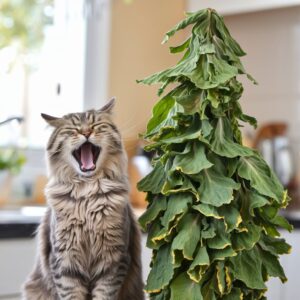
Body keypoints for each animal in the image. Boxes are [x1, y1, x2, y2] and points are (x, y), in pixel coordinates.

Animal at [22, 97, 145, 298]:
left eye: (96, 125)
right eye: (73, 129)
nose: (86, 132)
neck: (87, 196)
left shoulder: (113, 260)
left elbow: (104, 294)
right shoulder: (64, 261)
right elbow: (70, 294)